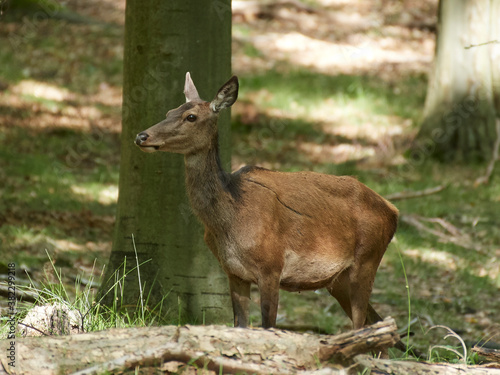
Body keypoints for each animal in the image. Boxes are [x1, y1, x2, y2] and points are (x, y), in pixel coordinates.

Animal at [134, 72, 414, 356]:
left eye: (191, 117)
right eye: (169, 111)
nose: (141, 136)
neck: (228, 220)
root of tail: (393, 211)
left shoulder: (271, 266)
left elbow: (268, 326)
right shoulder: (233, 272)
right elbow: (240, 326)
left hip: (367, 260)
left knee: (365, 327)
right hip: (339, 280)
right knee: (378, 324)